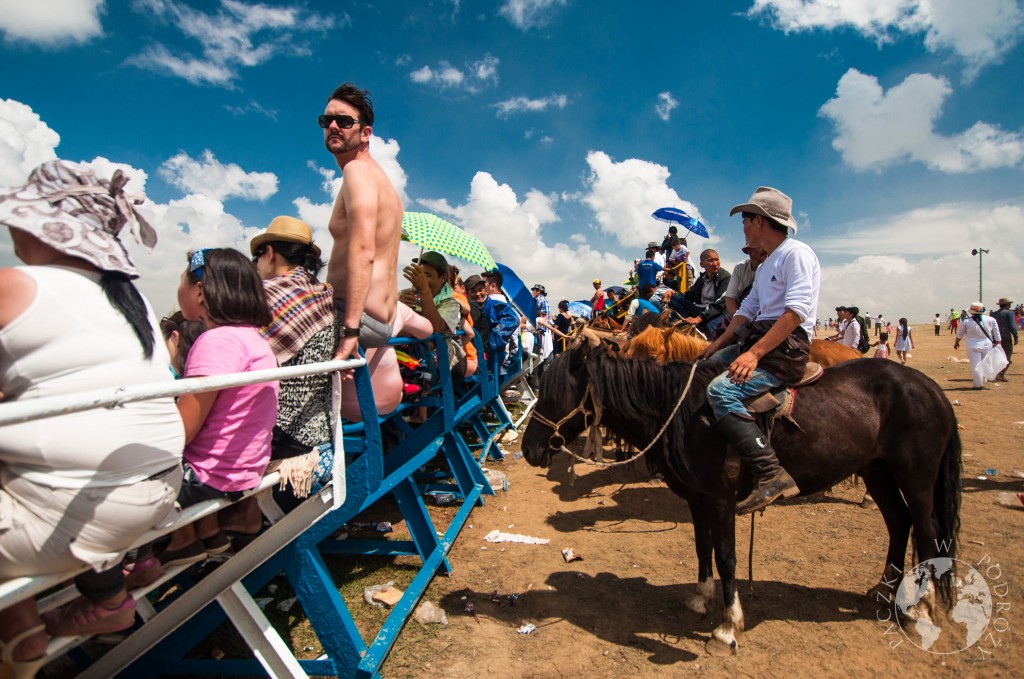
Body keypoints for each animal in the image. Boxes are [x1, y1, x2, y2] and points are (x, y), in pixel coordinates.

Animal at [520, 342, 958, 655]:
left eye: (555, 395)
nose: (529, 449)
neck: (683, 414)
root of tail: (928, 387)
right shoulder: (695, 499)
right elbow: (703, 548)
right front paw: (701, 599)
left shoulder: (721, 500)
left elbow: (726, 556)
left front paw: (727, 626)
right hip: (876, 470)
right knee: (899, 522)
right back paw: (884, 589)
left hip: (915, 476)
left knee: (927, 529)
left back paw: (921, 605)